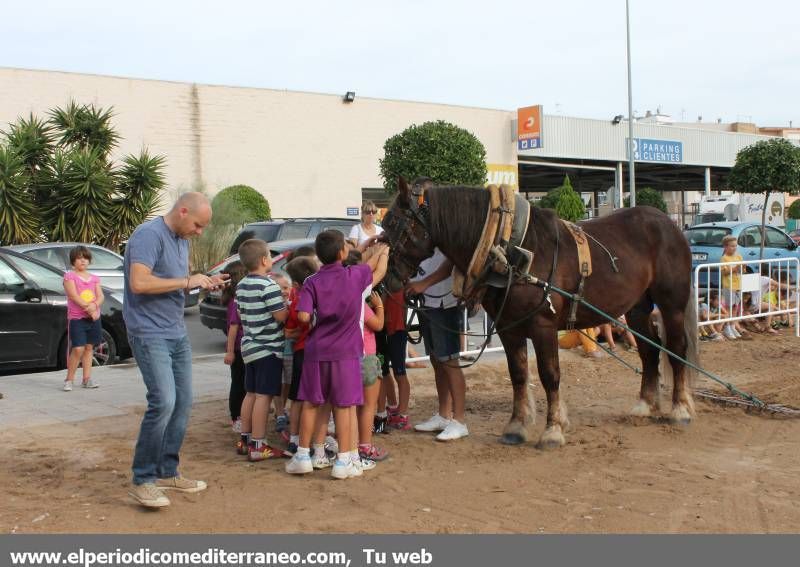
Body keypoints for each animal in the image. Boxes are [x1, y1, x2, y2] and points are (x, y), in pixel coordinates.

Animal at [382, 180, 692, 450]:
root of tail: (669, 223)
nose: (388, 278)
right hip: (638, 308)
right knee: (650, 351)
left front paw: (552, 431)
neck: (512, 249)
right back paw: (644, 405)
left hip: (672, 306)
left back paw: (680, 410)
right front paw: (516, 427)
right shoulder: (508, 327)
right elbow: (518, 375)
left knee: (676, 349)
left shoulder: (543, 327)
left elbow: (549, 375)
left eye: (393, 222)